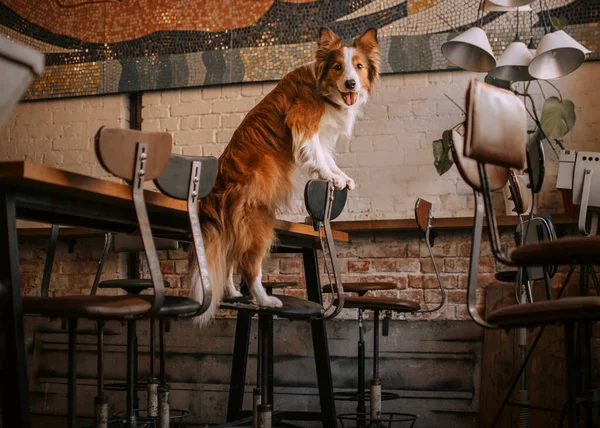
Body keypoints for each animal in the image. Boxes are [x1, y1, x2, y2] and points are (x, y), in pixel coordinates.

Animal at [192, 27, 380, 320]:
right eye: (338, 67)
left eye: (358, 66)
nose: (351, 84)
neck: (323, 88)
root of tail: (216, 188)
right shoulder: (303, 124)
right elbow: (320, 157)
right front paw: (333, 178)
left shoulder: (321, 135)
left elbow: (327, 156)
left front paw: (341, 176)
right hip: (257, 225)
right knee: (250, 267)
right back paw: (265, 300)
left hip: (237, 229)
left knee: (231, 259)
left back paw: (234, 294)